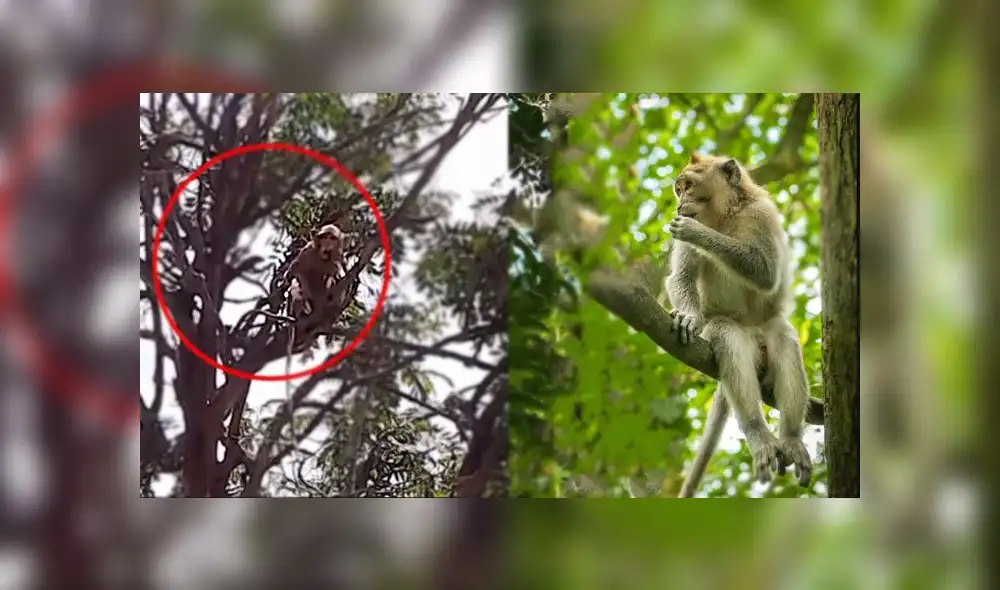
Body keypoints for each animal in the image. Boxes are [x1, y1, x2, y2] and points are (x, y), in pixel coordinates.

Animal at [666, 152, 812, 497]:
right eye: (679, 189)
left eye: (688, 186)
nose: (679, 204)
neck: (726, 216)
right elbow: (680, 278)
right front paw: (689, 317)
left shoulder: (762, 214)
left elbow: (765, 272)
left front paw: (696, 233)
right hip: (731, 335)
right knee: (726, 334)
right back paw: (758, 432)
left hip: (767, 334)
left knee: (782, 335)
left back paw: (790, 437)